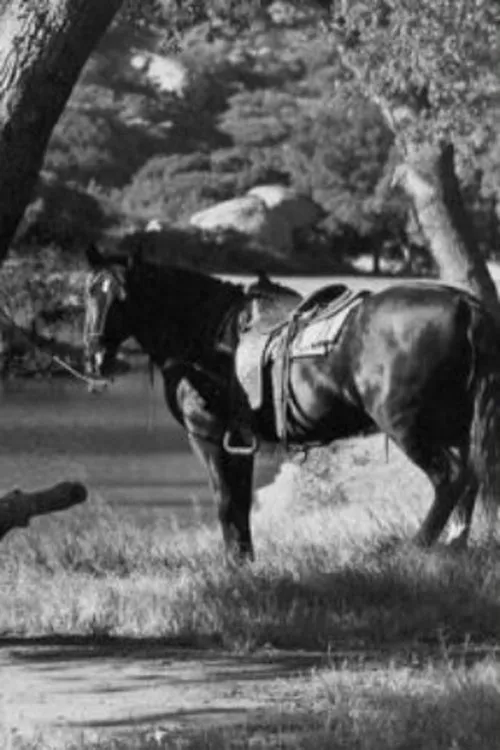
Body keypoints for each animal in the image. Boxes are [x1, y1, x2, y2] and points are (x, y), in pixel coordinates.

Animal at [83, 245, 500, 561]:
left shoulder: (210, 439)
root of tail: (465, 304)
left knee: (450, 478)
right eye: (89, 292)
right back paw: (454, 546)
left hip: (407, 425)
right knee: (470, 478)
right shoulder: (239, 443)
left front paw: (234, 565)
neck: (207, 336)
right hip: (454, 424)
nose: (96, 356)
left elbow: (226, 503)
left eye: (122, 298)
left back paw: (417, 547)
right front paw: (245, 562)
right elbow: (240, 504)